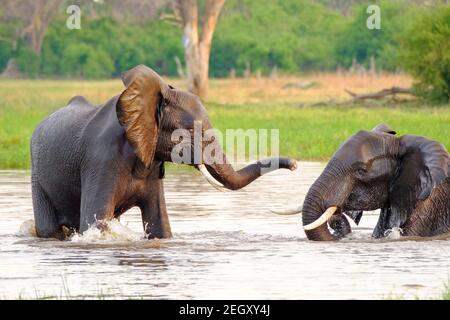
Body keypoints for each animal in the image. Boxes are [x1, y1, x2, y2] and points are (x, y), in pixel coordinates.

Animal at [29, 65, 296, 240]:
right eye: (190, 130)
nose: (294, 165)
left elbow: (160, 224)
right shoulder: (101, 160)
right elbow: (96, 224)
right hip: (37, 176)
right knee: (50, 228)